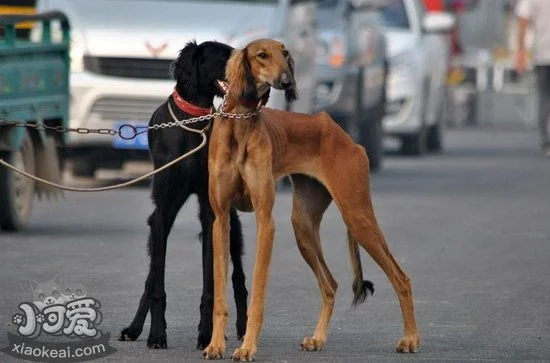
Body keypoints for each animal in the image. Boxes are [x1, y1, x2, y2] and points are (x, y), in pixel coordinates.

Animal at [122, 41, 251, 352]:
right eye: (224, 55)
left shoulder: (211, 214)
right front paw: (157, 334)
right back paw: (135, 328)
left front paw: (206, 335)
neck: (193, 118)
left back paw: (242, 328)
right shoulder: (162, 211)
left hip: (231, 222)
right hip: (161, 224)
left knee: (238, 278)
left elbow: (210, 286)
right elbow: (156, 283)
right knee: (151, 276)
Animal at [205, 38, 420, 362]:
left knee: (401, 278)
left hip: (357, 216)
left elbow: (258, 293)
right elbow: (220, 293)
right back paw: (318, 338)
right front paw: (216, 345)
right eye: (262, 55)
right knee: (330, 284)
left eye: (286, 54)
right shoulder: (221, 219)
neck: (240, 122)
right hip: (303, 226)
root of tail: (344, 135)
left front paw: (247, 347)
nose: (287, 81)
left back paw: (410, 339)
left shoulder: (265, 221)